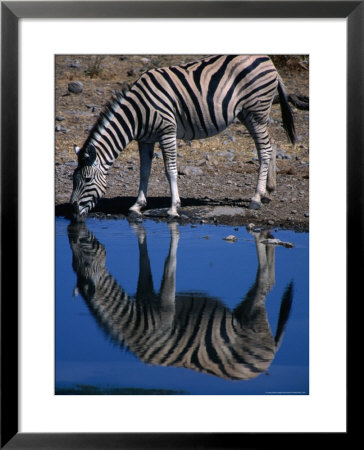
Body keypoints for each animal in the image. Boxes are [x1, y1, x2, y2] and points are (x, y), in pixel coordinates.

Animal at [68, 223, 294, 382]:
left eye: (84, 255)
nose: (75, 226)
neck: (136, 322)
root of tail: (270, 355)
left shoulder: (165, 311)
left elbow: (168, 265)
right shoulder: (145, 293)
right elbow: (144, 263)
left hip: (253, 317)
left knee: (264, 283)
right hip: (243, 311)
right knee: (270, 281)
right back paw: (268, 237)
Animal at [69, 54, 296, 220]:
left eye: (87, 179)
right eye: (73, 179)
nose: (72, 211)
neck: (137, 113)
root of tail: (267, 58)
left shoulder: (167, 131)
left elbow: (170, 170)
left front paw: (173, 208)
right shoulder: (145, 139)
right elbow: (144, 172)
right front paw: (137, 206)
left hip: (256, 111)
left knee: (264, 149)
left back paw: (256, 198)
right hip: (247, 114)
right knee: (268, 146)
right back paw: (267, 192)